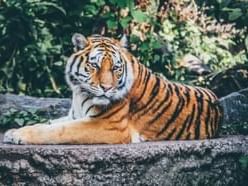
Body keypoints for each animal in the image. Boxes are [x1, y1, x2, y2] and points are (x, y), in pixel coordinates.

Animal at [2, 33, 223, 144]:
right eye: (95, 65)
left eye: (116, 68)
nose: (107, 88)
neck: (80, 93)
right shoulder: (75, 115)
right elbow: (48, 124)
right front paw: (13, 131)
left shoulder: (108, 125)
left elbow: (58, 131)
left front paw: (18, 135)